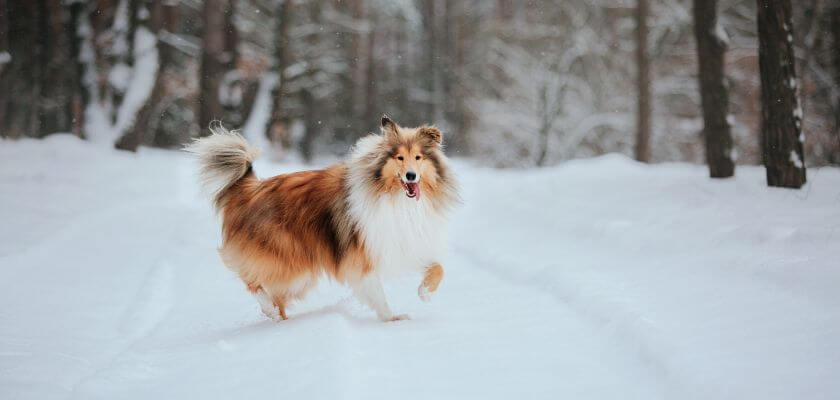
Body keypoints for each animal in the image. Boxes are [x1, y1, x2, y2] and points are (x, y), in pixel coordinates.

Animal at [187, 115, 460, 322]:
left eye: (418, 157)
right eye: (399, 158)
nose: (411, 176)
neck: (395, 198)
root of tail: (251, 189)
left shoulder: (403, 242)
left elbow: (438, 267)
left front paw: (425, 292)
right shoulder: (363, 255)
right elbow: (376, 292)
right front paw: (392, 318)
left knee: (275, 295)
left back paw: (276, 317)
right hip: (292, 263)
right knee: (254, 282)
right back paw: (270, 310)